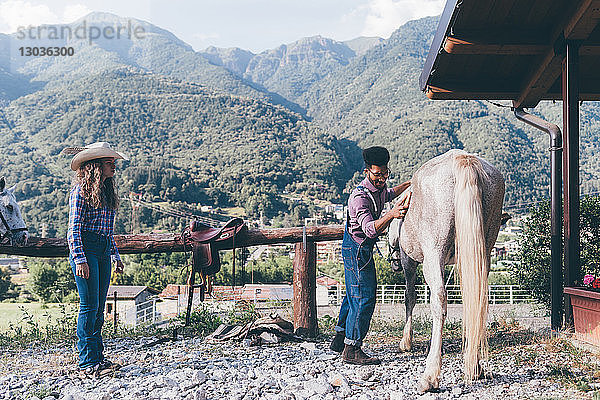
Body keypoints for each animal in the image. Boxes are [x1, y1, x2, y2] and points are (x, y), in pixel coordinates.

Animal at [386, 148, 504, 392]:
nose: (393, 263)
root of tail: (463, 160)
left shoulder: (410, 262)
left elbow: (410, 297)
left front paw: (406, 341)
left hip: (433, 257)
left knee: (439, 301)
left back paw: (430, 375)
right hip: (483, 253)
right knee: (476, 300)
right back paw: (474, 365)